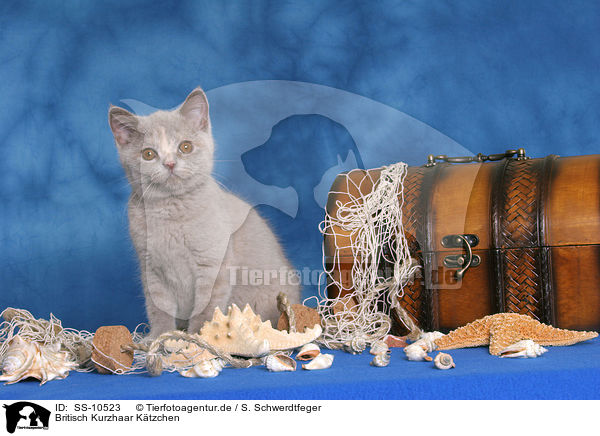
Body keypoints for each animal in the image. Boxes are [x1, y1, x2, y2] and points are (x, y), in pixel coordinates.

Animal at [108, 85, 300, 338]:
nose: (169, 164)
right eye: (148, 154)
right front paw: (159, 336)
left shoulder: (214, 265)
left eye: (185, 147)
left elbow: (206, 308)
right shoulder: (151, 269)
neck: (172, 211)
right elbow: (158, 308)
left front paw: (199, 337)